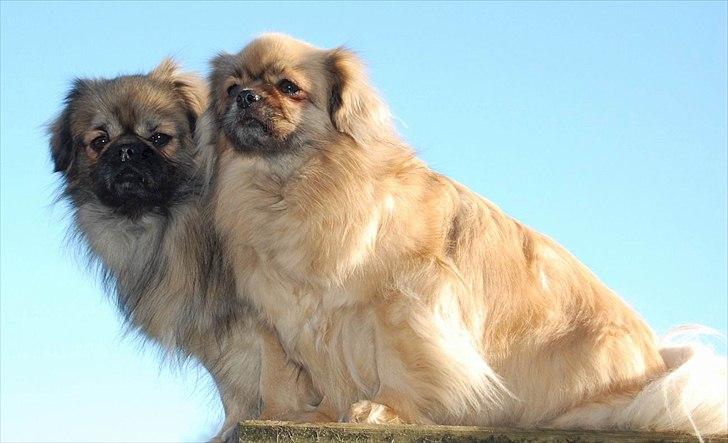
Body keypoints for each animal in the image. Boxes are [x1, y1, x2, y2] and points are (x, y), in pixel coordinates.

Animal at [49, 61, 312, 440]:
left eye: (159, 138)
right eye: (99, 142)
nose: (126, 149)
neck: (171, 224)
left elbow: (276, 376)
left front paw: (278, 419)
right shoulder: (215, 329)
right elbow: (233, 388)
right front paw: (230, 429)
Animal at [206, 34, 728, 438]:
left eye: (288, 88)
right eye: (232, 88)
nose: (246, 96)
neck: (294, 185)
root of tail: (656, 364)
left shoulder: (406, 304)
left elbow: (402, 364)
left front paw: (383, 409)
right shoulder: (315, 319)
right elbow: (330, 374)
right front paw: (327, 415)